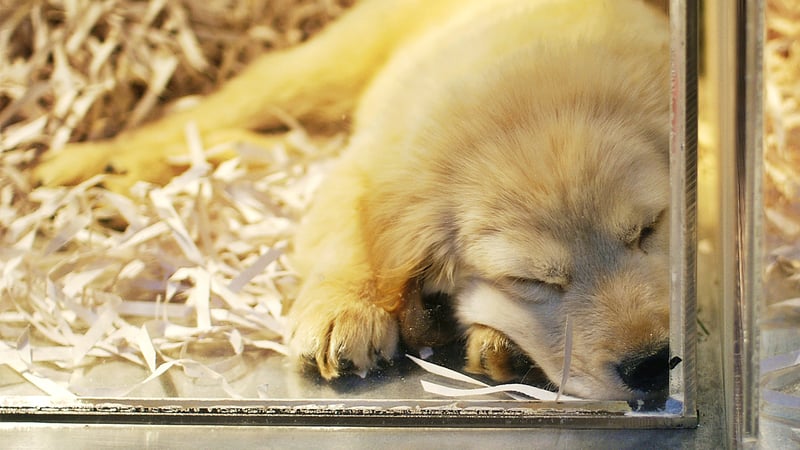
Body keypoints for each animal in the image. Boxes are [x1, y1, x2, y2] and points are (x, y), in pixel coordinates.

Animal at [37, 0, 676, 400]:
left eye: (650, 230)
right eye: (532, 281)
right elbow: (355, 229)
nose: (652, 367)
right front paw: (343, 309)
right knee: (212, 114)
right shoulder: (370, 168)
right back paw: (88, 162)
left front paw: (501, 344)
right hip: (321, 72)